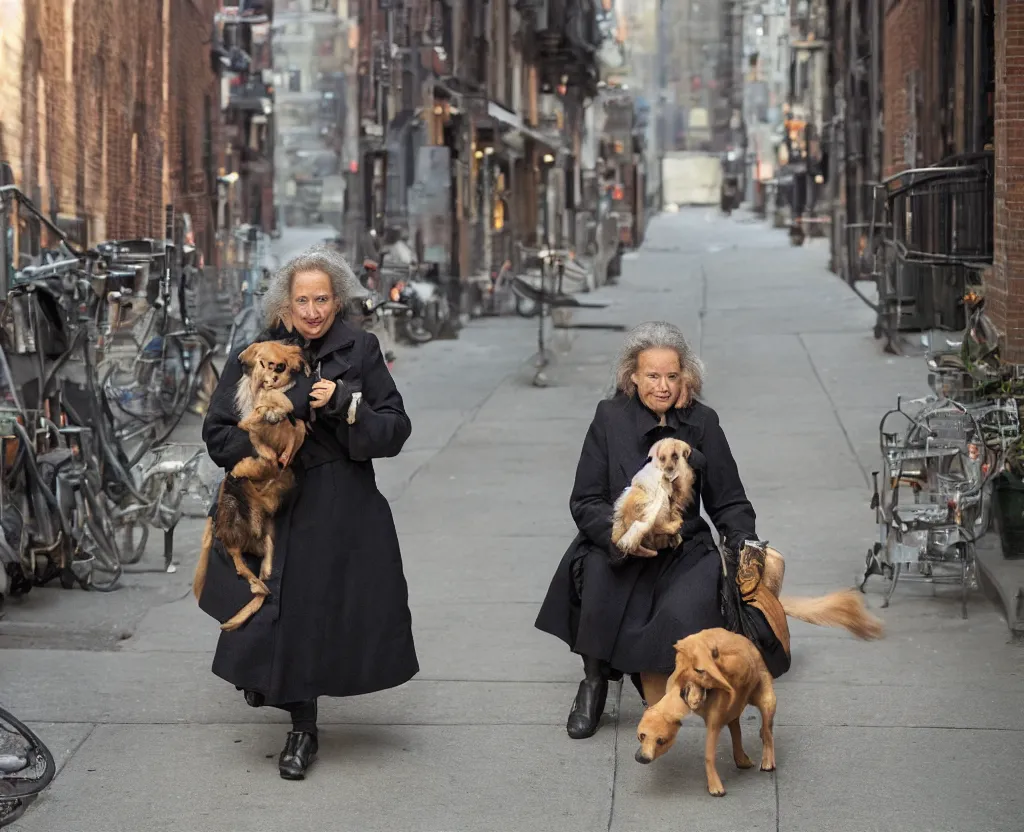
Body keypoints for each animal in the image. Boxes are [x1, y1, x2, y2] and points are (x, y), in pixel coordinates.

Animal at [192, 338, 307, 631]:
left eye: (282, 366)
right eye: (265, 363)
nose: (275, 376)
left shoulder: (291, 428)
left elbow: (295, 427)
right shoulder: (251, 424)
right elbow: (258, 430)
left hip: (266, 534)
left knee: (258, 559)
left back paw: (263, 578)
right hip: (233, 523)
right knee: (238, 565)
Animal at [630, 627, 774, 795]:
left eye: (661, 741)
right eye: (642, 735)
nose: (642, 758)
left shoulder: (714, 722)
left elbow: (709, 755)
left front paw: (714, 786)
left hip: (768, 701)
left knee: (767, 731)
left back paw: (768, 760)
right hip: (734, 714)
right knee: (737, 734)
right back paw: (742, 760)